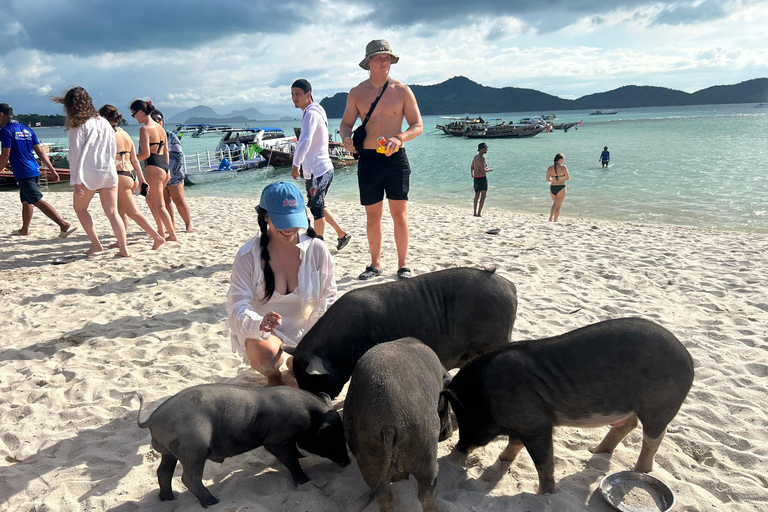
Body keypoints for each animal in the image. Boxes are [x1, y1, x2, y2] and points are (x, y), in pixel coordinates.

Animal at [137, 384, 351, 508]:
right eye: (334, 437)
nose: (347, 462)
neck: (309, 419)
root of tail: (152, 419)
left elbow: (295, 454)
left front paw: (302, 457)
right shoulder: (276, 439)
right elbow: (290, 460)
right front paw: (305, 481)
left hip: (170, 453)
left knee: (163, 472)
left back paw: (168, 498)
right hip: (193, 450)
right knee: (188, 478)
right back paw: (212, 502)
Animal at [344, 338, 453, 512]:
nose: (449, 433)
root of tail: (388, 423)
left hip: (368, 453)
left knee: (384, 496)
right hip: (424, 444)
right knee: (427, 490)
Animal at [442, 317, 694, 495]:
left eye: (465, 418)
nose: (459, 448)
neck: (485, 396)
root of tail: (688, 358)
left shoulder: (536, 424)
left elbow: (543, 461)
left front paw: (544, 494)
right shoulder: (522, 423)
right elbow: (514, 443)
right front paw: (503, 460)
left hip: (659, 407)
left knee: (653, 438)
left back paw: (639, 470)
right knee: (628, 424)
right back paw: (596, 451)